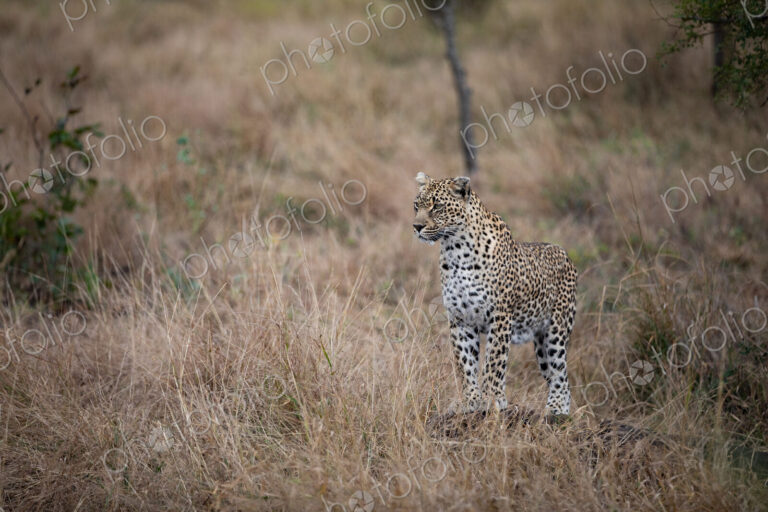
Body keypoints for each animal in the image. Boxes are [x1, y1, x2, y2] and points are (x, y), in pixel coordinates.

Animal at [412, 172, 577, 416]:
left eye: (437, 206)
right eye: (417, 205)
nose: (416, 226)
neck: (455, 249)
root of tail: (564, 252)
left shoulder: (499, 318)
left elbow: (494, 362)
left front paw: (492, 400)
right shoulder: (460, 319)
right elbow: (465, 364)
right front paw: (470, 401)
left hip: (555, 331)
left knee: (560, 374)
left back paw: (555, 409)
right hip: (540, 342)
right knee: (558, 376)